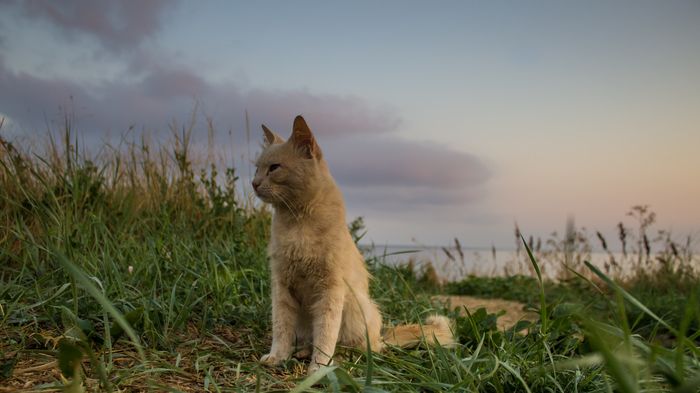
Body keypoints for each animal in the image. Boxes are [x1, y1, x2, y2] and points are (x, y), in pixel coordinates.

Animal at [252, 115, 454, 374]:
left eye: (274, 167)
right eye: (256, 168)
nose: (254, 183)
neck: (296, 224)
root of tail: (382, 336)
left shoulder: (330, 290)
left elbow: (326, 334)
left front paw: (319, 368)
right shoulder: (282, 287)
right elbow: (281, 328)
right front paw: (277, 357)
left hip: (358, 310)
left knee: (362, 349)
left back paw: (338, 360)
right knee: (310, 341)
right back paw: (302, 352)